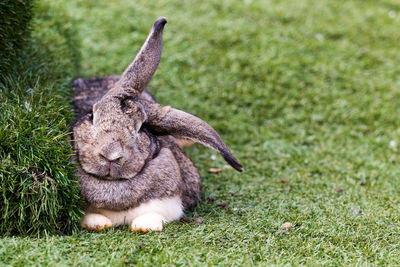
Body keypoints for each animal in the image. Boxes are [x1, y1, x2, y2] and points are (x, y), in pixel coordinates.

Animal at [70, 17, 242, 233]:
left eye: (140, 129)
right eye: (92, 116)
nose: (110, 154)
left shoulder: (169, 204)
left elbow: (153, 216)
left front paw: (142, 226)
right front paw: (99, 224)